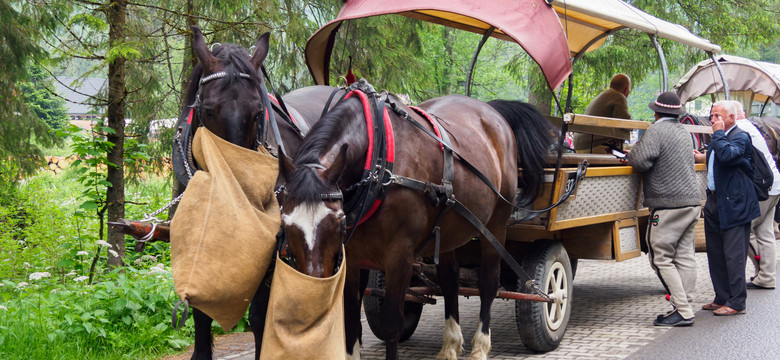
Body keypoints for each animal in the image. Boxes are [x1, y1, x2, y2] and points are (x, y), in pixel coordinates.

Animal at [278, 88, 552, 360]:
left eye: (337, 221)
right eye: (286, 223)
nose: (314, 292)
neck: (378, 160)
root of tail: (492, 111)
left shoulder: (400, 255)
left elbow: (391, 324)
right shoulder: (352, 256)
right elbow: (351, 322)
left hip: (495, 226)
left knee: (488, 284)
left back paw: (480, 347)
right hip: (449, 230)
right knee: (450, 282)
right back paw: (450, 345)